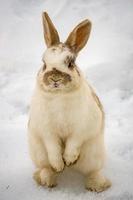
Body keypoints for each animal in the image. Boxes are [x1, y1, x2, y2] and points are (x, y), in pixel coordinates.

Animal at [28, 11, 111, 192]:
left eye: (71, 63)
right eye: (44, 63)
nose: (55, 78)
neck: (59, 95)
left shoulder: (83, 126)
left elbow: (74, 141)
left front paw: (69, 159)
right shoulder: (46, 130)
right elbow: (52, 146)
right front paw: (59, 165)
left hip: (94, 154)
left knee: (93, 171)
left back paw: (97, 185)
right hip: (38, 153)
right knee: (44, 167)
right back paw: (46, 180)